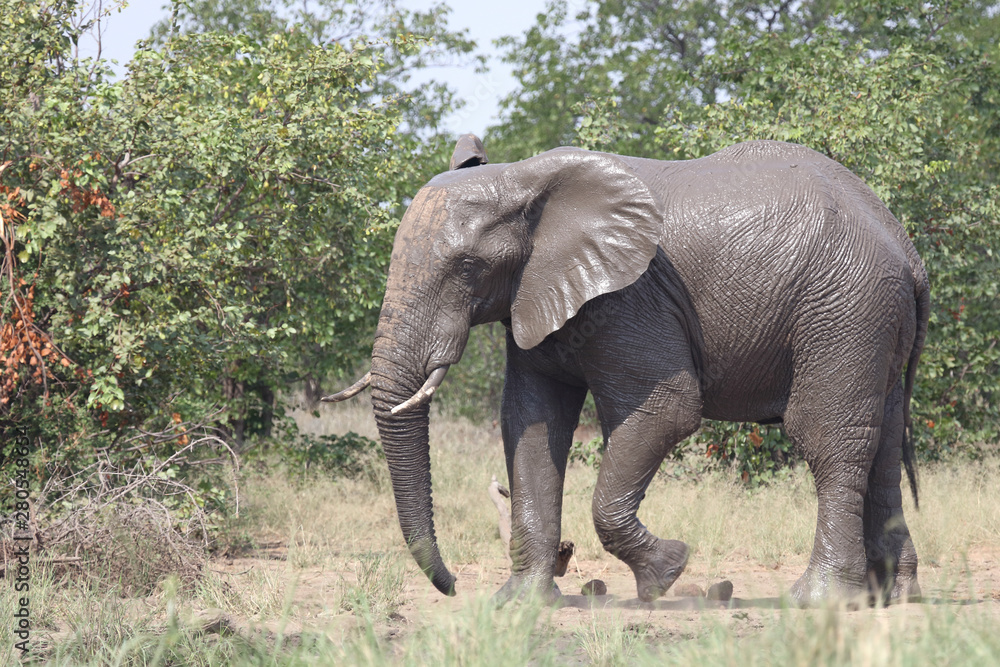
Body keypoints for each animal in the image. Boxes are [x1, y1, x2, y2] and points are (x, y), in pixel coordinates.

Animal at [326, 134, 928, 604]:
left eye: (468, 266)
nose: (451, 587)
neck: (525, 181)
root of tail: (908, 248)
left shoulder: (630, 300)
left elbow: (669, 409)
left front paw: (670, 573)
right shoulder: (538, 293)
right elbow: (531, 421)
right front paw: (518, 604)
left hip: (846, 309)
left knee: (828, 439)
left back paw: (818, 600)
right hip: (874, 321)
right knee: (882, 448)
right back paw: (893, 598)